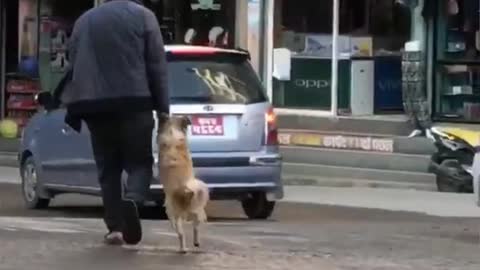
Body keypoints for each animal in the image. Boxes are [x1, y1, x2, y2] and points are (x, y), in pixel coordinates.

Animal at [158, 114, 210, 253]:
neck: (172, 132)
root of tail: (184, 191)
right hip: (195, 207)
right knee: (196, 225)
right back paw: (195, 243)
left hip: (173, 215)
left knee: (181, 233)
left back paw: (184, 248)